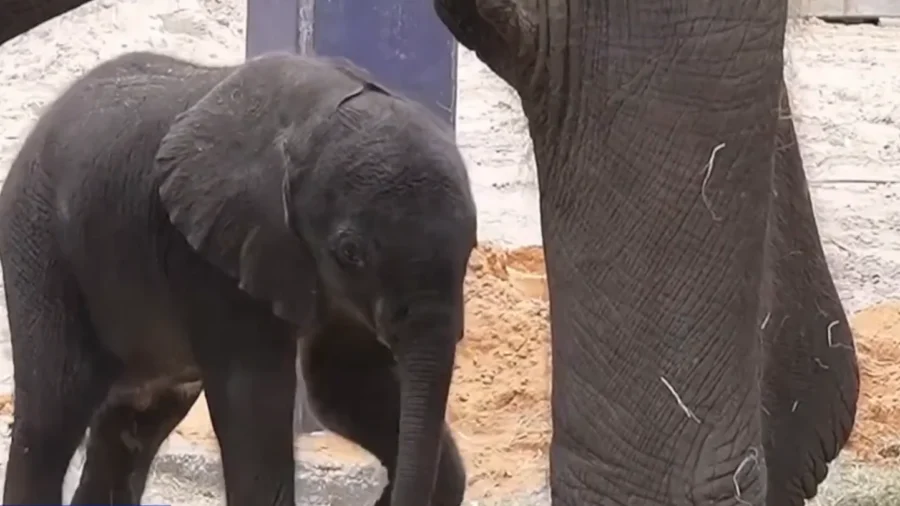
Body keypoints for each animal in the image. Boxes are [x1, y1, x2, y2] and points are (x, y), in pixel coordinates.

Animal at [0, 50, 475, 506]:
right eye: (350, 253)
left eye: (471, 248)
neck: (312, 118)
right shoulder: (209, 254)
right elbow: (253, 400)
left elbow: (344, 380)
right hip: (40, 242)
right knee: (53, 412)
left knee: (131, 428)